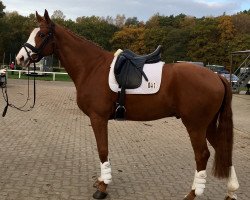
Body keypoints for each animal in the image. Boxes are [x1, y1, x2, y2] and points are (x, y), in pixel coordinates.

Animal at [16, 10, 239, 199]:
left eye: (42, 34)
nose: (20, 58)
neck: (92, 67)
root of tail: (218, 77)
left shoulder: (98, 118)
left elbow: (102, 150)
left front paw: (103, 188)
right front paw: (101, 181)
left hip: (195, 125)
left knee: (202, 155)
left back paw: (192, 194)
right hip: (208, 125)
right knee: (223, 150)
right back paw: (231, 191)